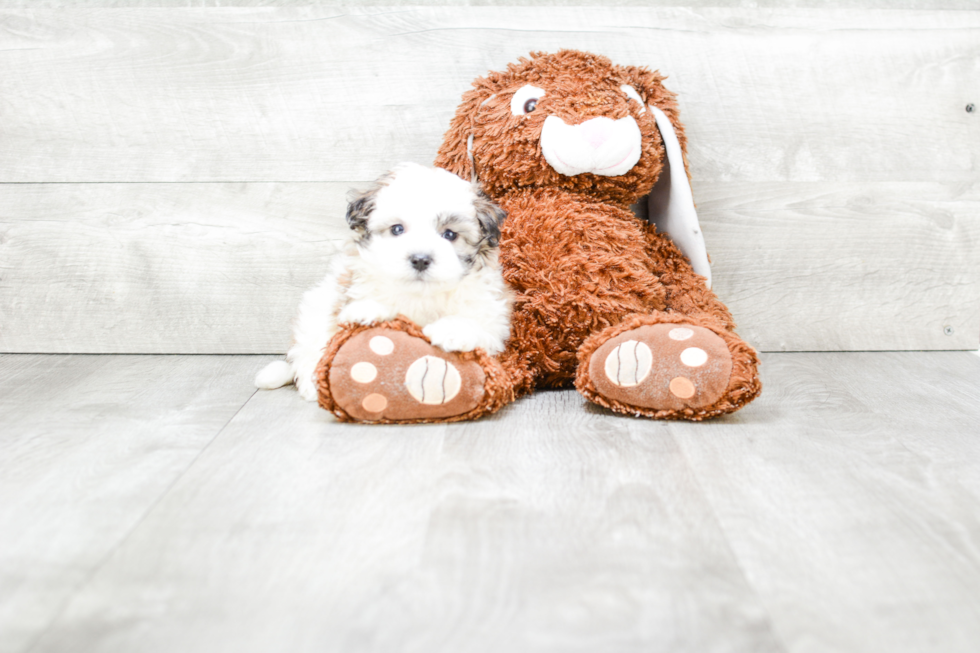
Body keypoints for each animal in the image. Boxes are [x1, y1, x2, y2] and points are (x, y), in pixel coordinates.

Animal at [253, 160, 512, 400]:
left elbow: (480, 324)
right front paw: (368, 310)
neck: (420, 294)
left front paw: (453, 330)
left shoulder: (491, 314)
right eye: (397, 229)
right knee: (306, 350)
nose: (420, 259)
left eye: (449, 234)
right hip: (314, 309)